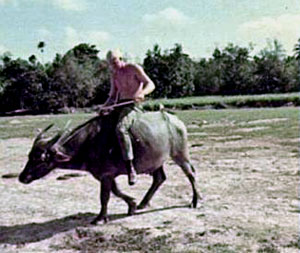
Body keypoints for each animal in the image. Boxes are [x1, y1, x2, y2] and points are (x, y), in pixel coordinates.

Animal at [19, 109, 202, 224]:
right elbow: (116, 191)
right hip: (156, 160)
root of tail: (176, 121)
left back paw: (195, 200)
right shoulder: (107, 175)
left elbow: (104, 197)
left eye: (39, 159)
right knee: (159, 178)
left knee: (191, 173)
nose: (22, 177)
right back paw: (143, 203)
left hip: (180, 154)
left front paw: (100, 218)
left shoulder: (105, 175)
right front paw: (132, 204)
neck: (88, 143)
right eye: (30, 155)